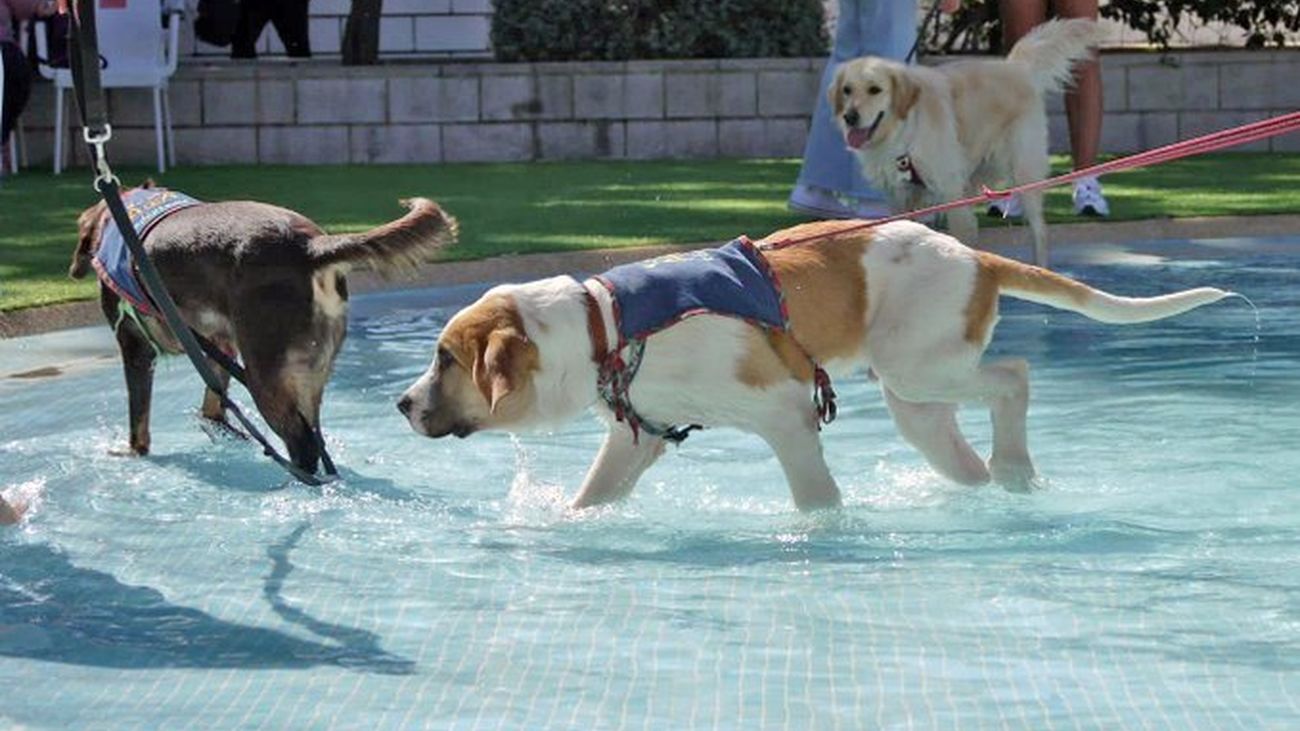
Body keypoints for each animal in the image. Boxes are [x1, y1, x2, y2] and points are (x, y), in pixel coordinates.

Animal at [72, 186, 457, 473]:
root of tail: (309, 248)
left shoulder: (135, 346)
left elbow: (139, 420)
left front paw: (133, 452)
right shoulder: (220, 342)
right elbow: (213, 404)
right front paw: (220, 429)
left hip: (265, 374)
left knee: (303, 448)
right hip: (309, 375)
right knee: (315, 439)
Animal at [397, 218, 1227, 509]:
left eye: (444, 359)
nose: (401, 404)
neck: (606, 325)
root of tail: (975, 253)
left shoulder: (786, 413)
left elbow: (815, 498)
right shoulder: (638, 437)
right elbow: (593, 495)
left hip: (919, 366)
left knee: (1014, 376)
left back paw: (1017, 466)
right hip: (915, 399)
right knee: (963, 446)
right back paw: (995, 485)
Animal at [832, 18, 1107, 266]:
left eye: (875, 89)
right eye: (847, 90)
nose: (850, 117)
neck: (905, 129)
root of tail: (1016, 66)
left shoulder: (950, 191)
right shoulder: (901, 197)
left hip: (1024, 172)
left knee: (1039, 231)